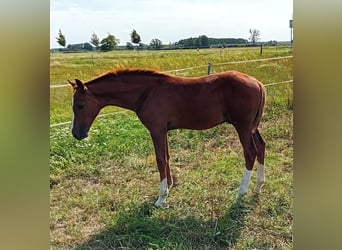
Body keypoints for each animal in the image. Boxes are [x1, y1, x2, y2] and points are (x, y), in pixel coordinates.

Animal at [69, 68, 268, 207]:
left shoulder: (156, 130)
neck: (147, 92)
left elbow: (160, 159)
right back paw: (258, 186)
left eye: (80, 105)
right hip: (251, 127)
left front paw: (161, 197)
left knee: (250, 152)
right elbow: (167, 157)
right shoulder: (163, 130)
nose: (77, 134)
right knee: (261, 147)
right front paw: (170, 186)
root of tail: (258, 83)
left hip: (242, 127)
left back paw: (241, 193)